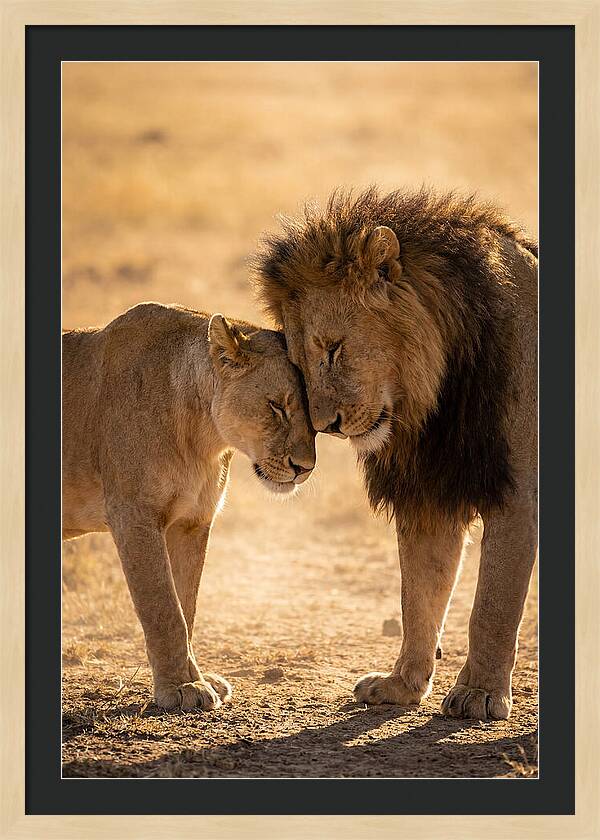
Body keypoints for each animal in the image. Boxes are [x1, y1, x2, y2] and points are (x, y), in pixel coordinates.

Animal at [62, 302, 315, 710]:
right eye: (277, 406)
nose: (304, 468)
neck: (204, 437)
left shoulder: (192, 521)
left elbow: (187, 604)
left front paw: (196, 677)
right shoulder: (134, 515)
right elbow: (164, 608)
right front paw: (183, 686)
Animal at [254, 187, 537, 720]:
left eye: (334, 348)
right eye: (298, 364)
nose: (327, 426)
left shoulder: (518, 495)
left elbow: (492, 606)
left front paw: (479, 693)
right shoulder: (428, 496)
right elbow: (419, 597)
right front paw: (402, 685)